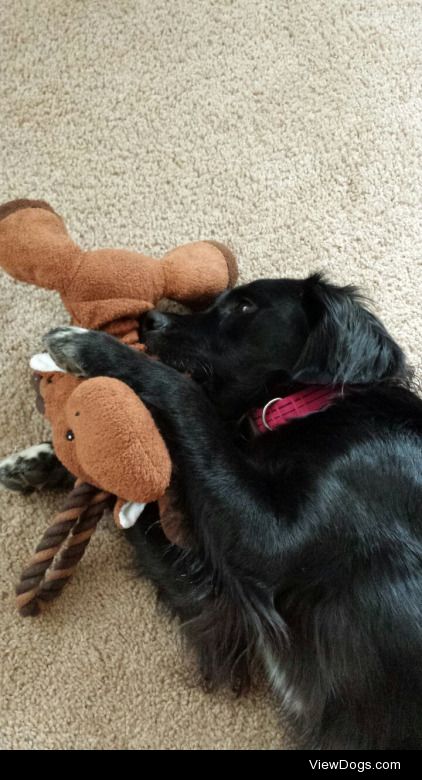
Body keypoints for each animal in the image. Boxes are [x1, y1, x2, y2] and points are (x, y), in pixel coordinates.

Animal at [29, 276, 422, 748]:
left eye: (245, 307)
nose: (148, 319)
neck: (316, 406)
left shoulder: (265, 545)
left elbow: (187, 397)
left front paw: (91, 348)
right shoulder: (223, 600)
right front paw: (47, 460)